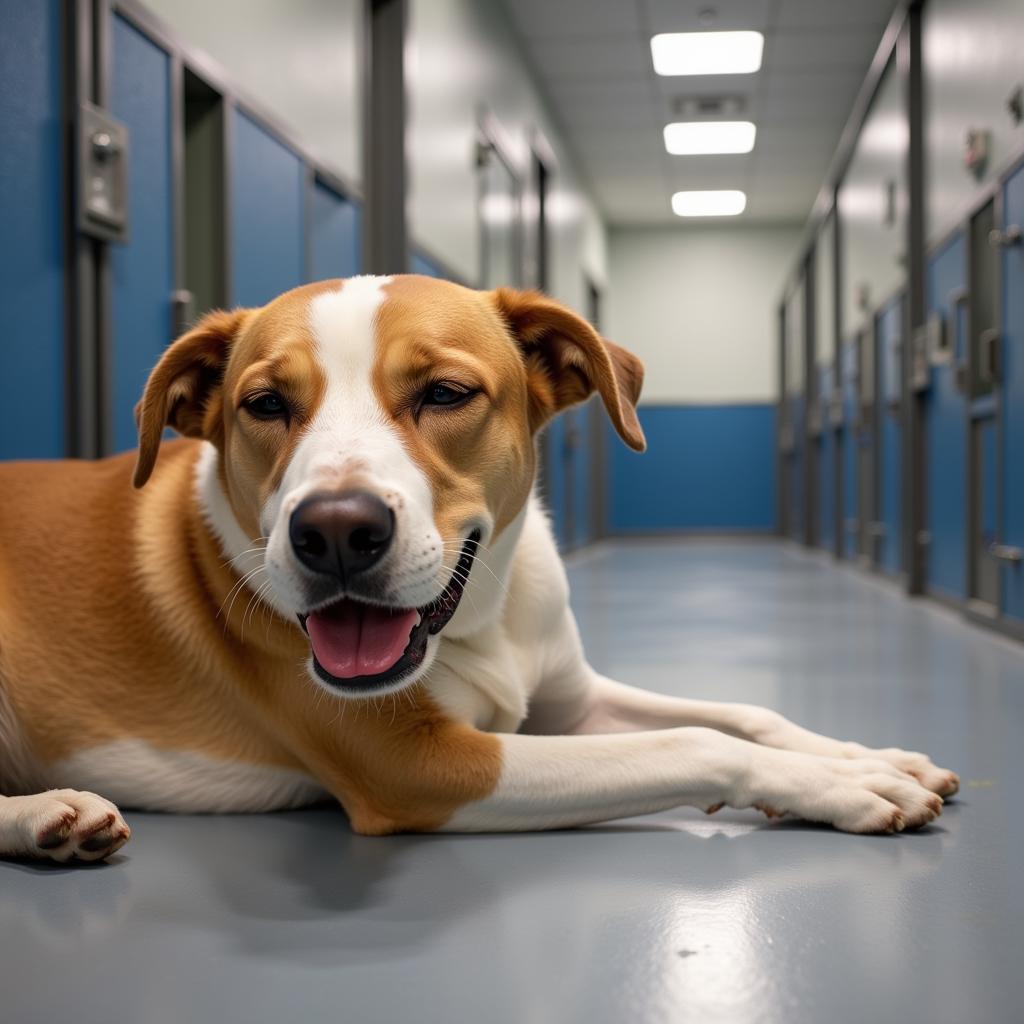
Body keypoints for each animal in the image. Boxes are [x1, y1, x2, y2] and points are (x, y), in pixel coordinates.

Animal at [2, 276, 958, 860]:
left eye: (446, 394)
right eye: (265, 405)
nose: (336, 532)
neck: (482, 621)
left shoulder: (572, 701)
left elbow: (741, 713)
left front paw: (866, 757)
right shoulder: (424, 768)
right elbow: (692, 740)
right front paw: (846, 785)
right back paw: (48, 813)